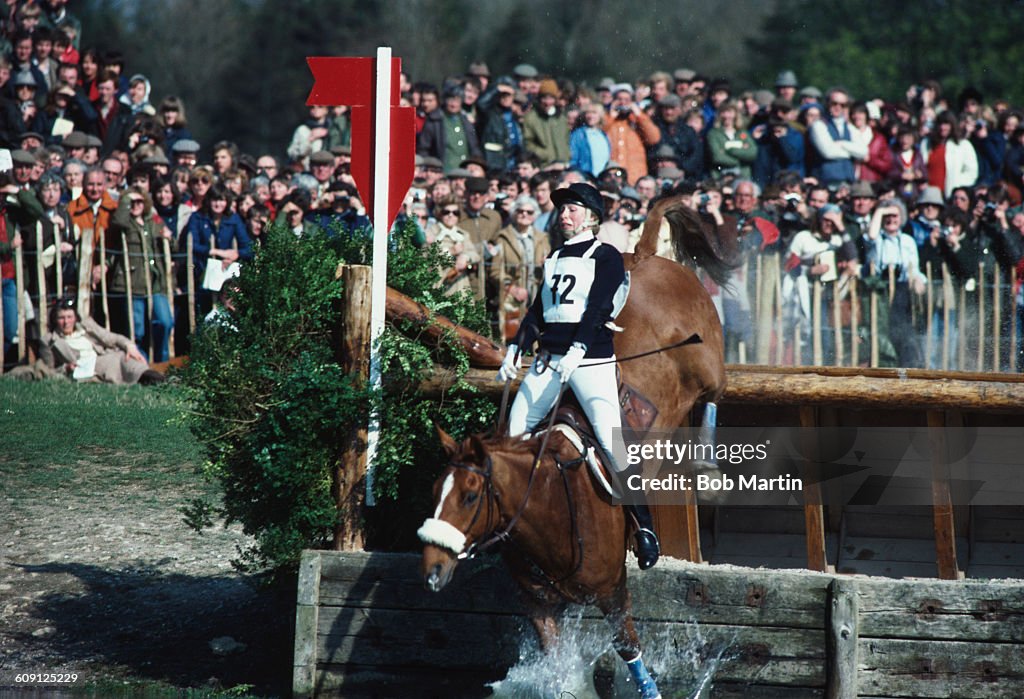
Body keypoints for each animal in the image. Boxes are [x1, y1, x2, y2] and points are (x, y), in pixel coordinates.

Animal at [419, 196, 733, 699]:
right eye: (434, 493)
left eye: (468, 497)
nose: (431, 571)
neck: (547, 503)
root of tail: (645, 256)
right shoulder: (541, 606)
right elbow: (561, 667)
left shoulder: (612, 593)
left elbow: (629, 650)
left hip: (707, 360)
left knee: (714, 395)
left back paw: (707, 471)